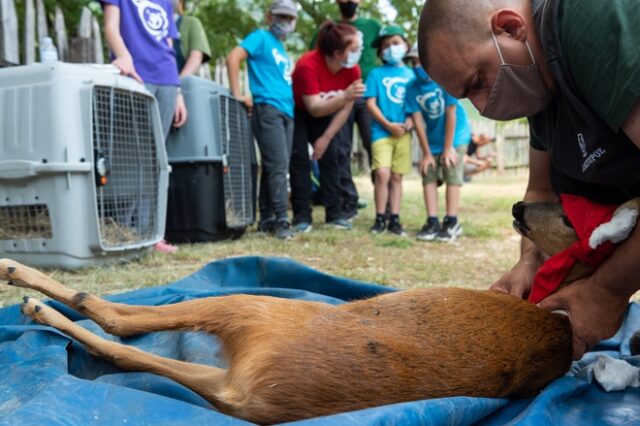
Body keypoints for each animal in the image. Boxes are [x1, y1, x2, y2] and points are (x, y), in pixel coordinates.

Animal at [0, 198, 636, 424]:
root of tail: (253, 394)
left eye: (571, 216)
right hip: (238, 350)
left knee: (116, 318)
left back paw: (26, 287)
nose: (520, 206)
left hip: (259, 306)